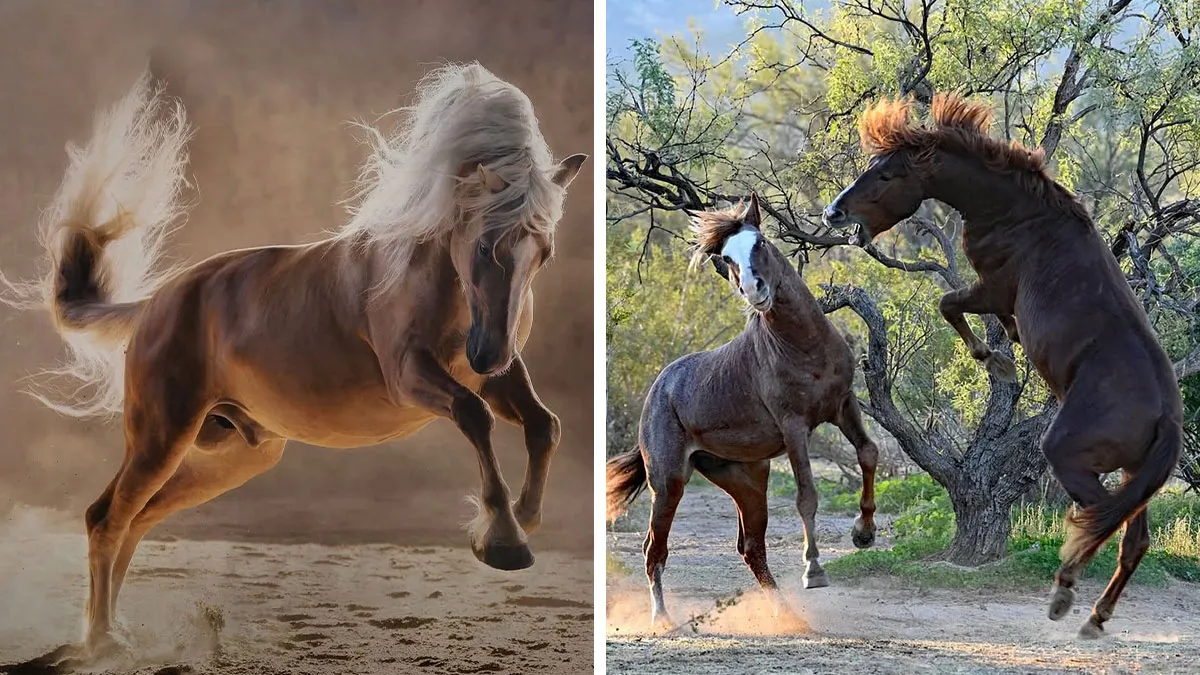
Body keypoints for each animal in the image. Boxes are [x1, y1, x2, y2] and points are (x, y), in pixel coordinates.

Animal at [0, 64, 586, 658]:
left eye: (543, 254)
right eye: (487, 245)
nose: (489, 353)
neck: (433, 274)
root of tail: (152, 304)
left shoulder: (493, 378)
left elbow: (545, 424)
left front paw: (522, 519)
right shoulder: (410, 376)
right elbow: (476, 416)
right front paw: (503, 540)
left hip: (232, 456)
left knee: (135, 520)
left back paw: (116, 632)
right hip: (161, 435)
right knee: (105, 518)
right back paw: (102, 642)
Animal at [605, 194, 880, 630]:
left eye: (761, 243)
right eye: (727, 259)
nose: (755, 290)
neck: (805, 347)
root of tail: (658, 388)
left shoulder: (842, 404)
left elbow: (868, 454)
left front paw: (864, 533)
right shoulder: (794, 426)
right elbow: (807, 494)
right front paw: (814, 570)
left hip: (747, 479)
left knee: (751, 546)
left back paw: (787, 616)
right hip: (669, 482)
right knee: (654, 548)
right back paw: (662, 618)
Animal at [823, 93, 1181, 638]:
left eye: (885, 174)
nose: (833, 212)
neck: (1022, 215)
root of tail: (1166, 417)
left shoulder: (991, 287)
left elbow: (950, 305)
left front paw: (997, 364)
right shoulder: (996, 296)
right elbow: (982, 318)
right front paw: (1004, 350)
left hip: (1073, 459)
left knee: (1100, 523)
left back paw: (1064, 592)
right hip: (1132, 476)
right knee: (1132, 539)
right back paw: (1095, 617)